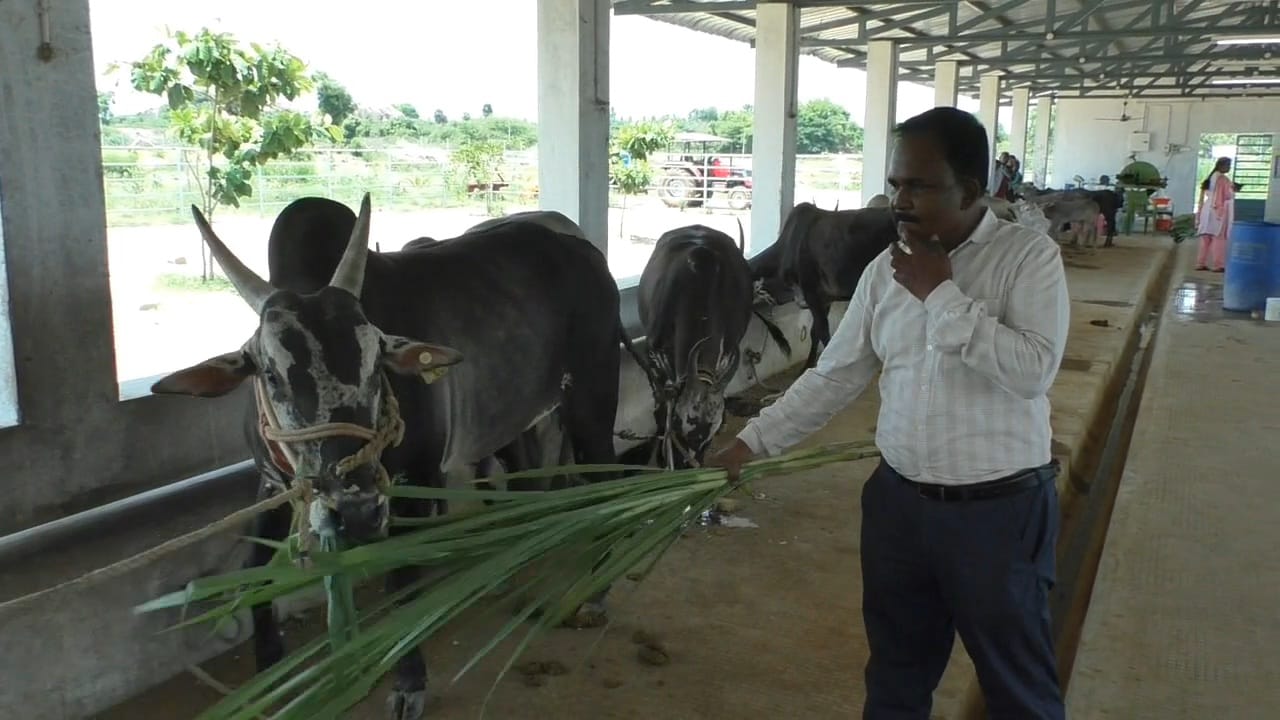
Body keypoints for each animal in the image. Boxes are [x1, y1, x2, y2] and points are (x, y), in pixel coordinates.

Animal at [151, 193, 629, 712]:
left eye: (376, 361)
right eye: (272, 374)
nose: (355, 510)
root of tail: (585, 253)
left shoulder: (413, 479)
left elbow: (402, 577)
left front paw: (409, 682)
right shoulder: (274, 484)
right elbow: (253, 575)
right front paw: (269, 671)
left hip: (590, 402)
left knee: (608, 481)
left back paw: (597, 592)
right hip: (516, 418)